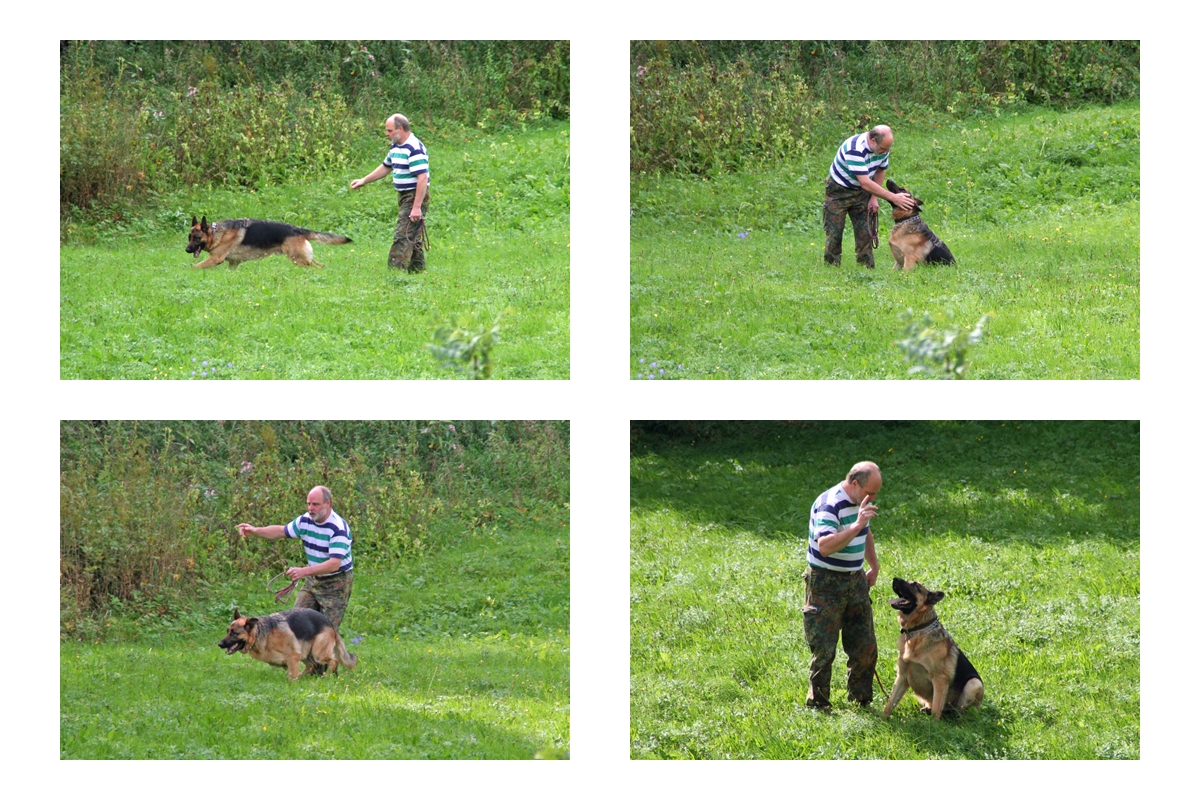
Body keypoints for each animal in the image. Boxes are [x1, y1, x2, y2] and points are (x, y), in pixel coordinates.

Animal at [184, 215, 350, 268]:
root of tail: (297, 229)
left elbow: (195, 267)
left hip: (299, 260)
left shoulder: (215, 259)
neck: (216, 233)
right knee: (321, 266)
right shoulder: (233, 264)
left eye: (197, 238)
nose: (187, 250)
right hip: (304, 259)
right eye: (189, 237)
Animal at [218, 609, 355, 681]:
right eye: (227, 631)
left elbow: (291, 677)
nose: (219, 644)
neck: (260, 634)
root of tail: (329, 623)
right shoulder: (288, 661)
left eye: (234, 633)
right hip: (305, 654)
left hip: (318, 653)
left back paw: (329, 676)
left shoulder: (293, 657)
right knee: (312, 665)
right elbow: (291, 674)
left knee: (334, 661)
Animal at [883, 575, 984, 719]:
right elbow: (890, 703)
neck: (918, 631)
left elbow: (936, 709)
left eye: (914, 585)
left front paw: (934, 724)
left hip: (974, 684)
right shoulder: (902, 677)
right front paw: (882, 719)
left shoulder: (940, 680)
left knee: (957, 711)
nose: (895, 578)